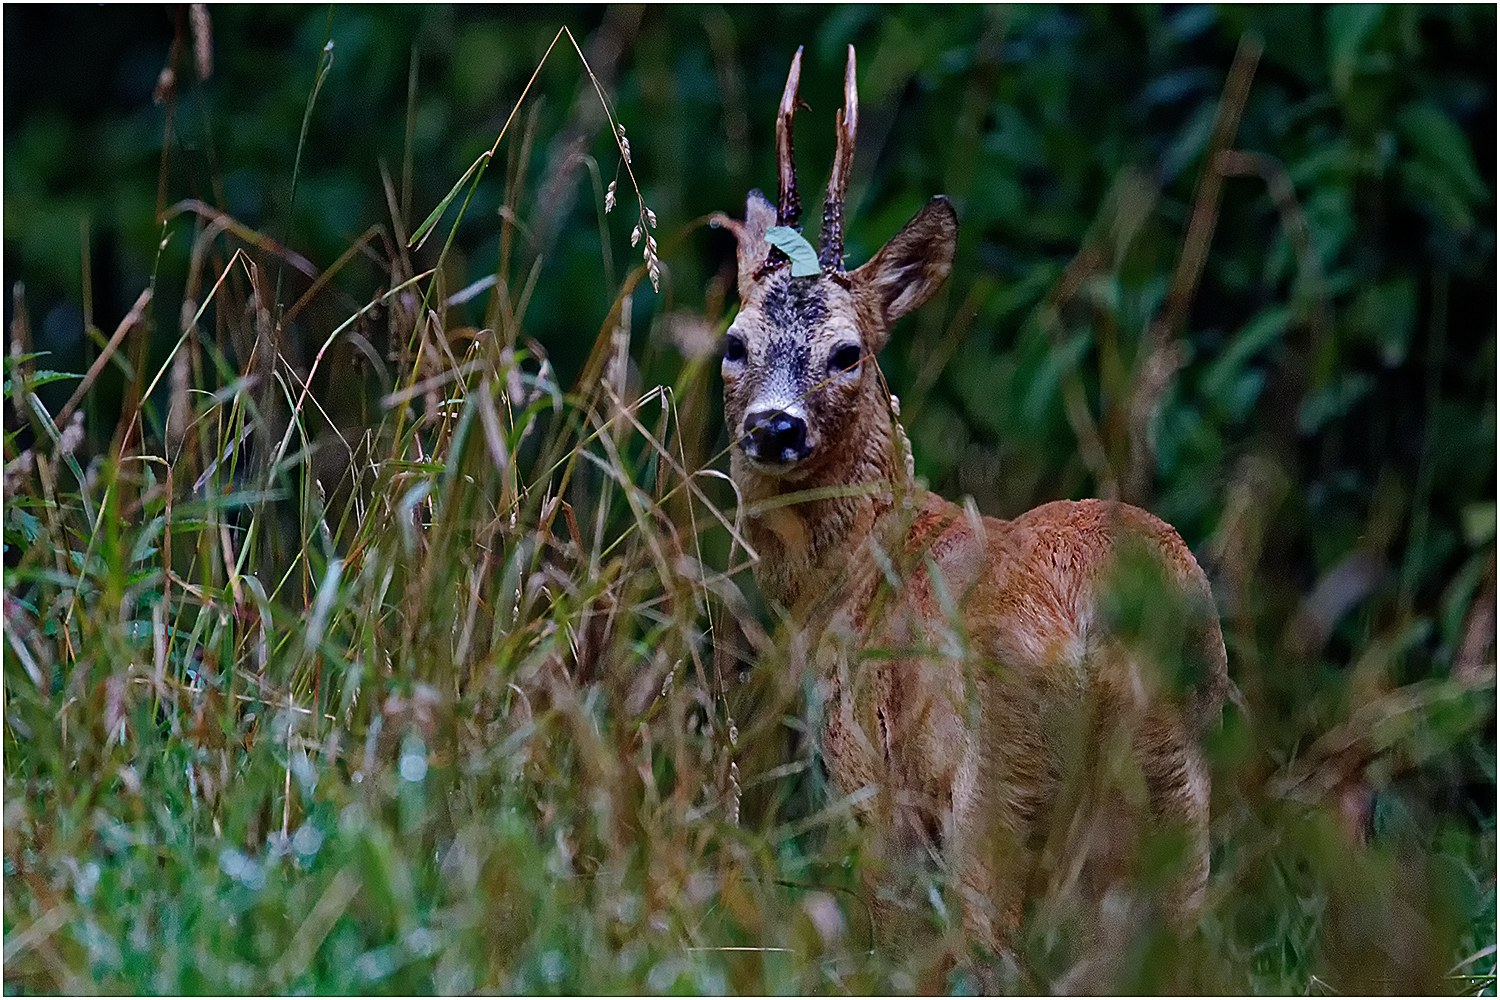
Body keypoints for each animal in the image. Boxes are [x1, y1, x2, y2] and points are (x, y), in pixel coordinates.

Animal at [714, 46, 1230, 983]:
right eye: (735, 343)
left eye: (848, 351)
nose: (774, 426)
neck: (853, 575)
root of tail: (1102, 620)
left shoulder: (872, 785)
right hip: (1178, 787)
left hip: (991, 784)